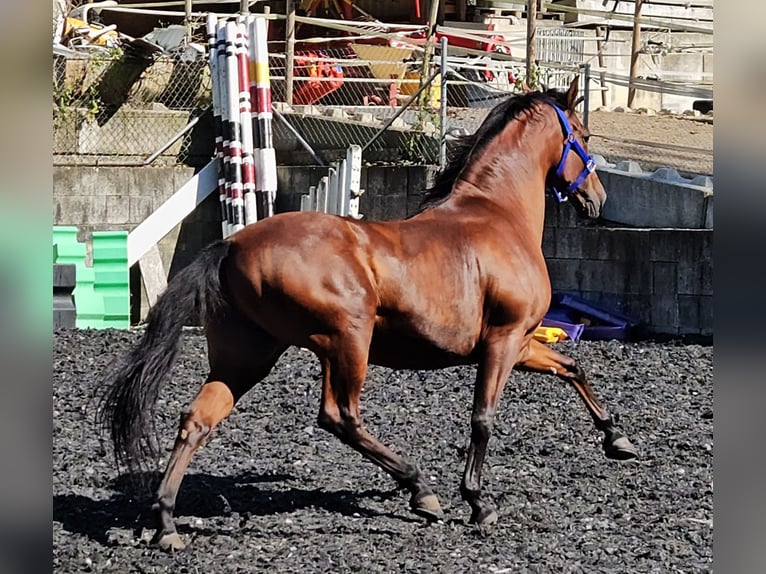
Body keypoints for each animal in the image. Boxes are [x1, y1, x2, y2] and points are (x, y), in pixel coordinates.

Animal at [97, 77, 636, 552]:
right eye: (583, 137)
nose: (598, 200)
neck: (497, 215)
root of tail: (230, 245)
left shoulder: (521, 342)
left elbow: (572, 368)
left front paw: (618, 440)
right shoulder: (503, 341)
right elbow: (483, 418)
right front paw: (478, 503)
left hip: (249, 357)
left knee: (198, 419)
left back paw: (167, 522)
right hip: (347, 341)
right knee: (340, 416)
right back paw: (421, 491)